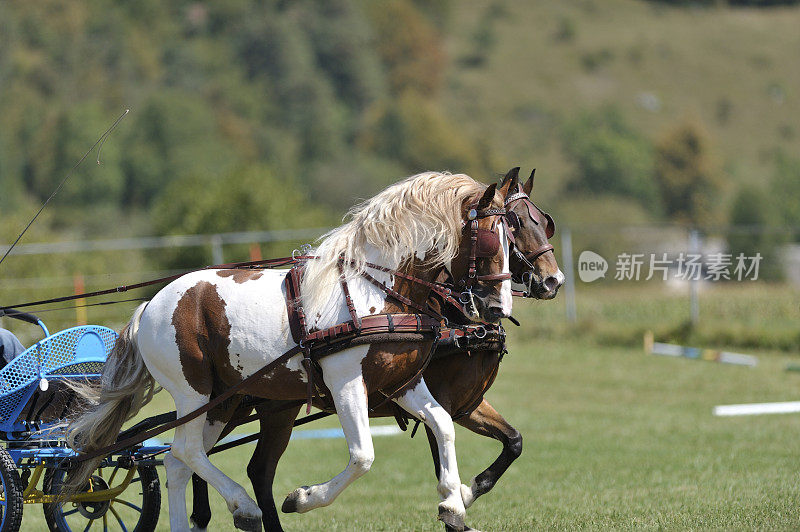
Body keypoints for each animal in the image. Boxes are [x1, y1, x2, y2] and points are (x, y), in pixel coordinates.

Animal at [64, 172, 512, 528]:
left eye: (514, 235)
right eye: (493, 238)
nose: (498, 308)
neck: (378, 291)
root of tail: (149, 306)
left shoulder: (401, 383)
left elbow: (443, 425)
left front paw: (454, 502)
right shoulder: (346, 382)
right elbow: (363, 456)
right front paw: (302, 498)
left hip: (223, 400)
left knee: (178, 461)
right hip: (195, 392)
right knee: (186, 450)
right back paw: (244, 507)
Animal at [188, 167, 564, 532]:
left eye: (544, 223)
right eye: (515, 226)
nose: (553, 280)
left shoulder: (466, 405)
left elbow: (513, 441)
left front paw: (467, 493)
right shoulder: (440, 399)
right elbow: (440, 460)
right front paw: (457, 504)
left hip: (274, 406)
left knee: (254, 468)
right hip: (233, 402)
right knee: (194, 451)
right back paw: (203, 515)